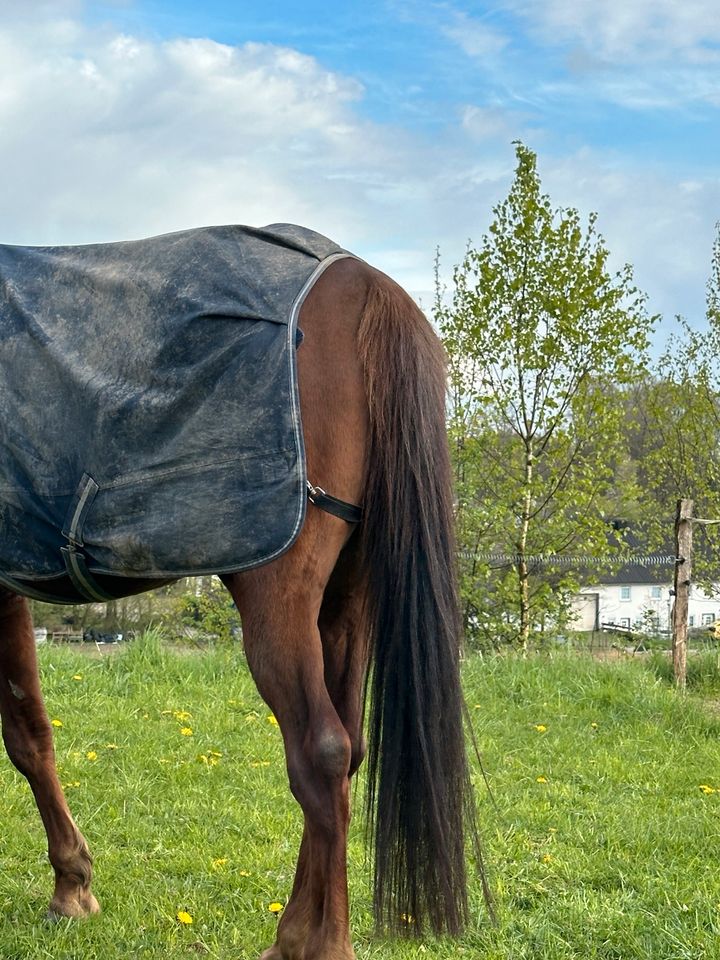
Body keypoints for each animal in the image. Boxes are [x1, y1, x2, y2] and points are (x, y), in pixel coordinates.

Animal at [1, 253, 484, 952]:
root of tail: (363, 282)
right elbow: (32, 732)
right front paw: (74, 885)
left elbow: (24, 737)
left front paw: (71, 888)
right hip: (346, 605)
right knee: (347, 753)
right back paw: (293, 934)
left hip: (278, 603)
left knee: (320, 752)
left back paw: (320, 945)